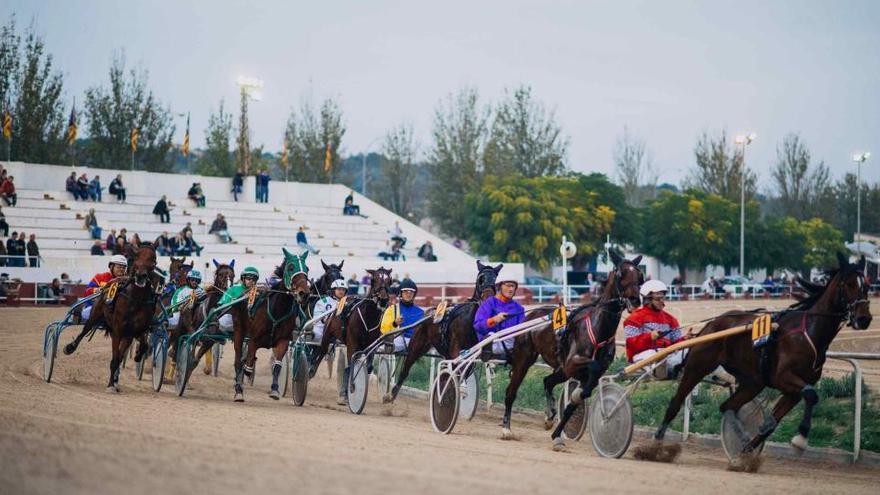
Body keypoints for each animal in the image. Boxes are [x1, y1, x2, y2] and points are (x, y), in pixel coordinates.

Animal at [384, 260, 502, 404]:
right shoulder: (455, 347)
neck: (470, 322)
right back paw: (391, 395)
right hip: (417, 345)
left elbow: (464, 370)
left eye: (495, 279)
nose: (488, 298)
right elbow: (458, 368)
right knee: (406, 368)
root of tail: (428, 313)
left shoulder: (473, 352)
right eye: (481, 279)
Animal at [548, 254, 644, 452]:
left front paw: (557, 435)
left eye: (640, 275)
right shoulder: (572, 363)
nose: (634, 300)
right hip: (563, 367)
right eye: (621, 274)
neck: (601, 328)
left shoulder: (591, 370)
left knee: (548, 381)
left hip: (561, 371)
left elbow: (578, 398)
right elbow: (592, 366)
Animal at [648, 254, 868, 470]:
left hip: (753, 381)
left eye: (865, 283)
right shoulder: (782, 377)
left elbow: (773, 423)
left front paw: (745, 454)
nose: (864, 319)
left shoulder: (793, 389)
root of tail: (709, 326)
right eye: (849, 284)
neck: (809, 333)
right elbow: (811, 395)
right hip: (698, 367)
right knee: (675, 403)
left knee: (727, 406)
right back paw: (656, 445)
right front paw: (800, 439)